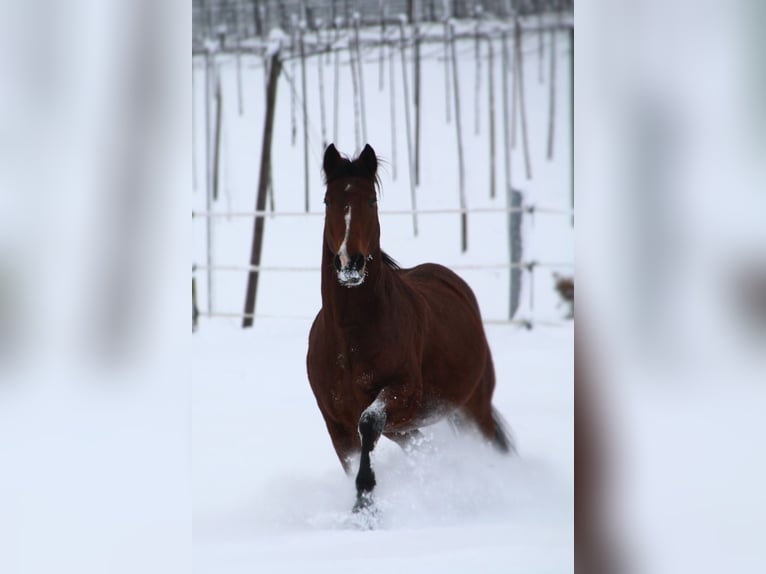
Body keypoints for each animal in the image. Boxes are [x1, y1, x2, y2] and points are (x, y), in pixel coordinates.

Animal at [306, 143, 513, 511]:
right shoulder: (336, 424)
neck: (349, 339)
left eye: (371, 200)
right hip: (406, 428)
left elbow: (368, 422)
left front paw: (365, 496)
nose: (350, 264)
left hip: (473, 406)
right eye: (328, 200)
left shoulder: (403, 392)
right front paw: (362, 505)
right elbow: (354, 455)